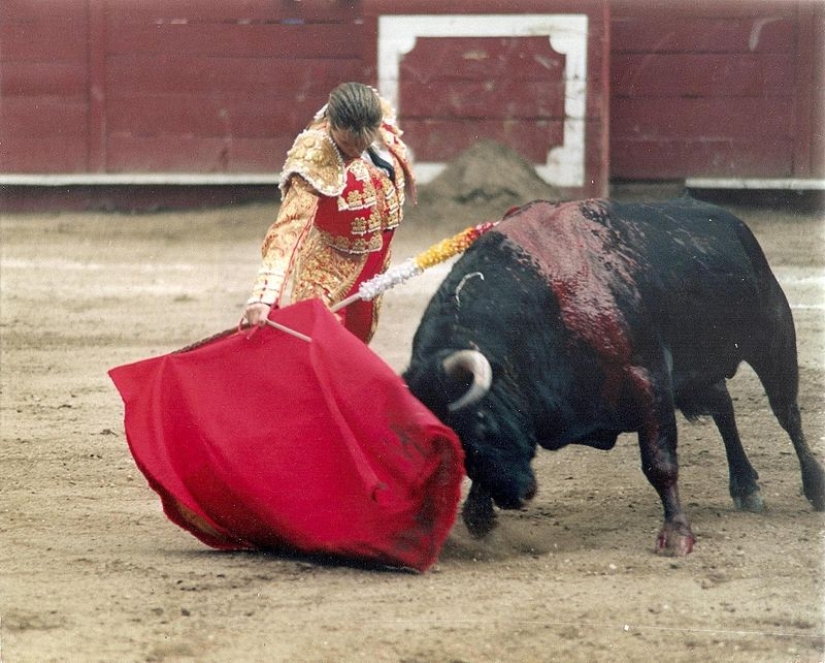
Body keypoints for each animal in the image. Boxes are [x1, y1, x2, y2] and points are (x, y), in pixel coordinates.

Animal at [400, 197, 824, 556]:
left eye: (484, 424)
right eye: (455, 443)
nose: (516, 496)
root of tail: (733, 223)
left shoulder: (648, 377)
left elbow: (659, 462)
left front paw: (676, 536)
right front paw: (479, 514)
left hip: (773, 340)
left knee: (788, 415)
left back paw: (814, 486)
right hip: (697, 375)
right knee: (724, 408)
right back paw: (746, 486)